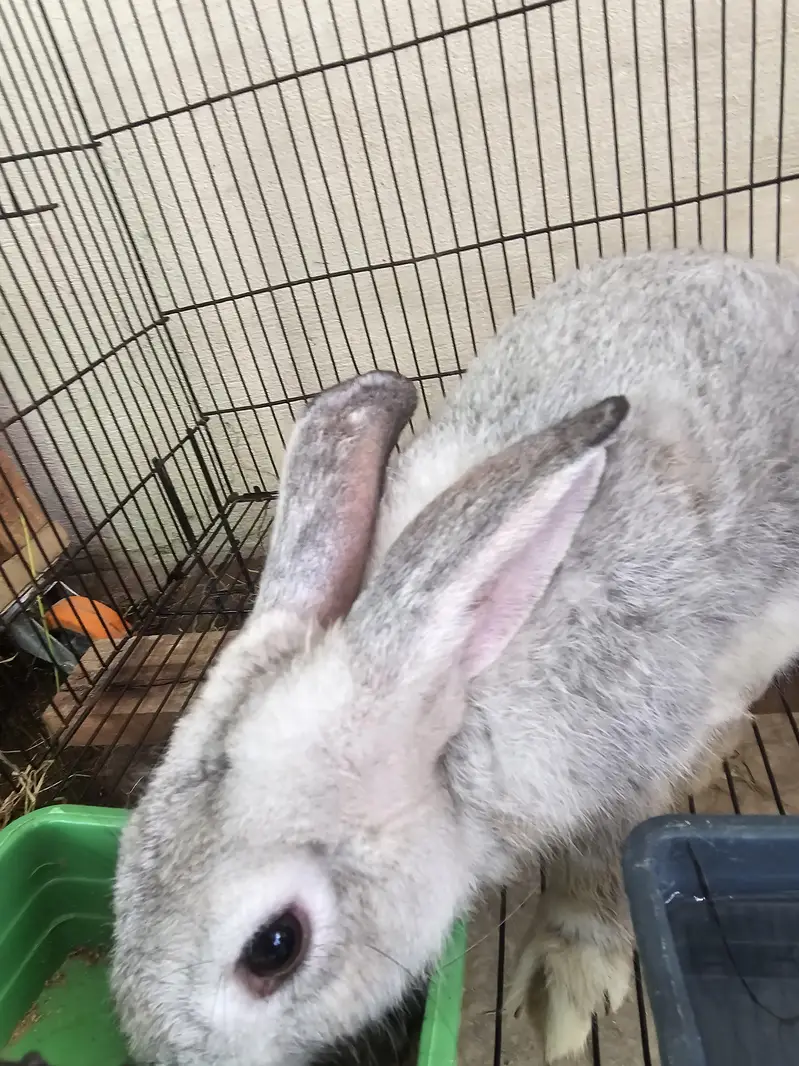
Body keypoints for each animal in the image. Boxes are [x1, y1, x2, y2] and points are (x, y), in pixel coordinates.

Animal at [112, 248, 799, 1066]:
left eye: (275, 945)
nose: (171, 1059)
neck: (457, 685)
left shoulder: (625, 773)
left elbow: (595, 868)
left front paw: (562, 990)